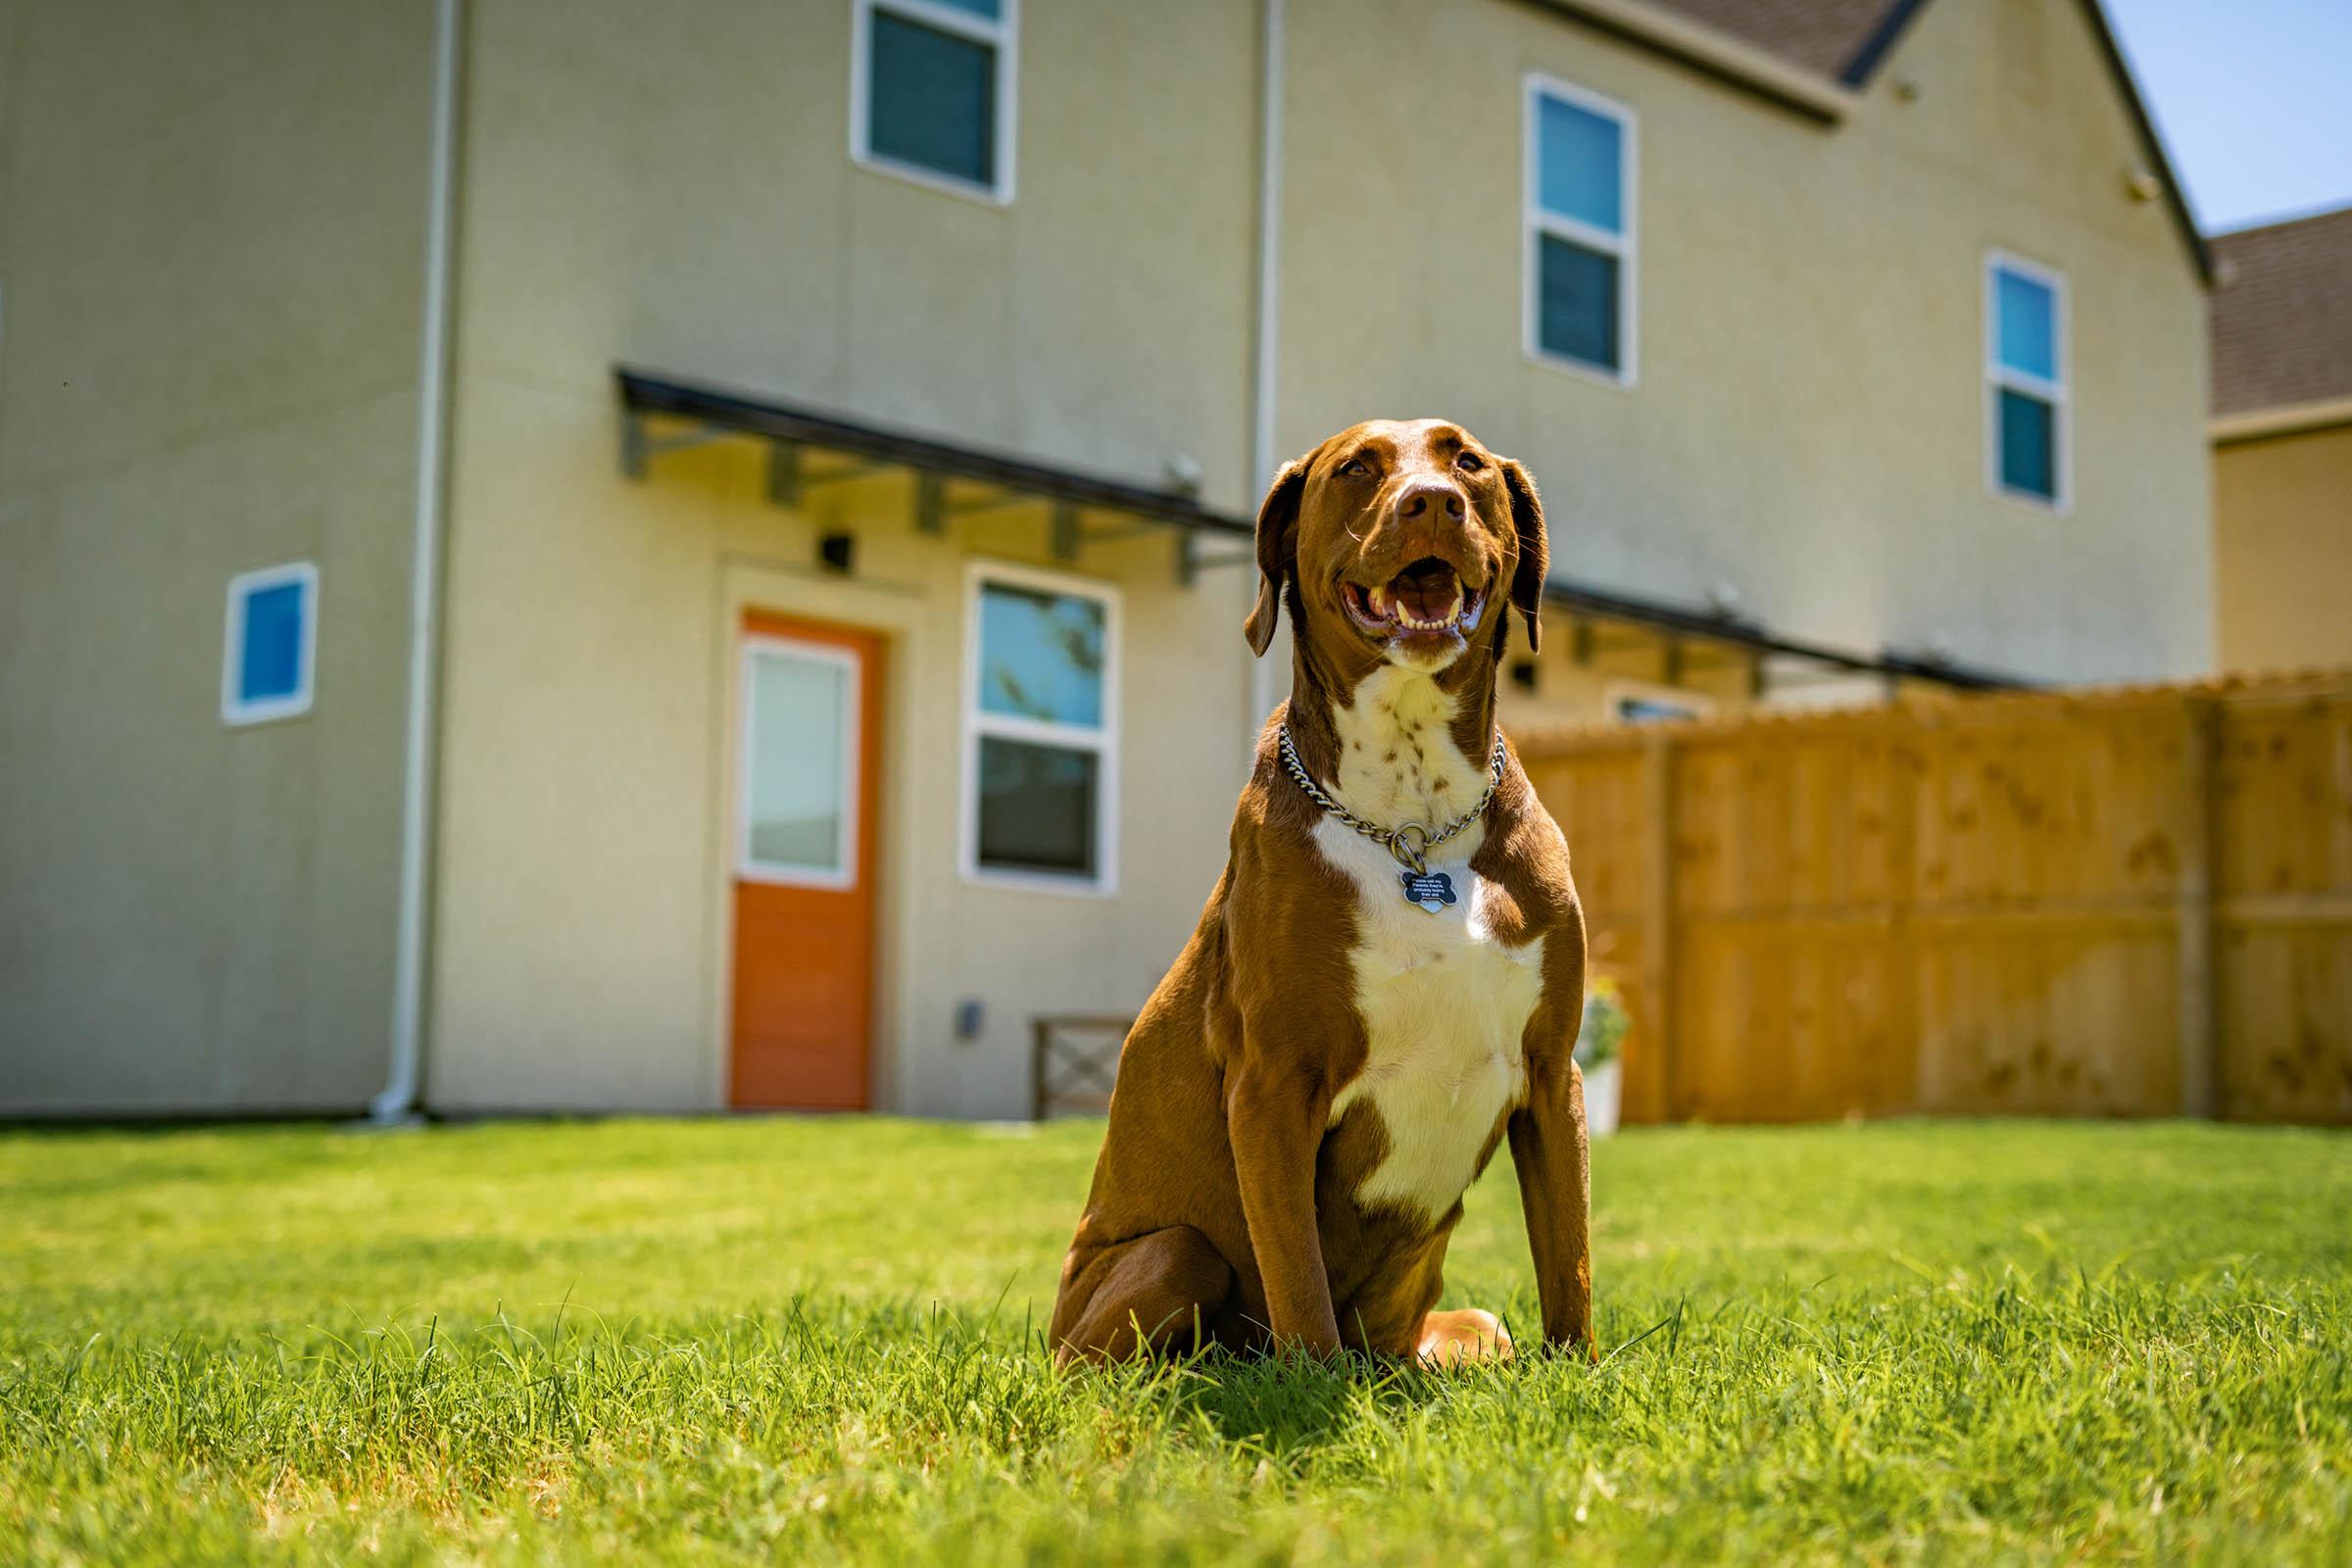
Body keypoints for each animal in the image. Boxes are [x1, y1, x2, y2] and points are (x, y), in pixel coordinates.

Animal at [1054, 416, 1590, 1363]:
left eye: (1467, 463)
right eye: (1356, 469)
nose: (1432, 502)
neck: (1416, 821)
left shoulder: (1552, 1069)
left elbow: (1571, 1260)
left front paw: (1582, 1376)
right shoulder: (1274, 1082)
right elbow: (1296, 1272)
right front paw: (1313, 1385)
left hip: (1467, 1325)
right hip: (1168, 1256)